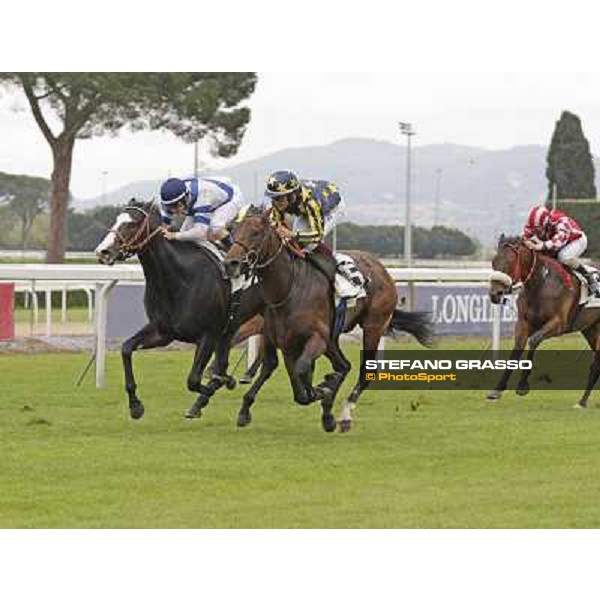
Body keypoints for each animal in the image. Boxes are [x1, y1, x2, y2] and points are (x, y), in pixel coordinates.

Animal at [95, 199, 262, 420]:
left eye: (132, 224)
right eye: (117, 219)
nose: (103, 252)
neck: (179, 279)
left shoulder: (208, 335)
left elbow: (193, 380)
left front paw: (222, 384)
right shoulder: (163, 332)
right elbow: (126, 348)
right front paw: (135, 405)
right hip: (233, 328)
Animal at [223, 211, 434, 432]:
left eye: (255, 232)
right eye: (233, 231)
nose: (230, 263)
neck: (288, 289)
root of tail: (382, 269)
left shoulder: (316, 337)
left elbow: (302, 370)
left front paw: (321, 391)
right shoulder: (282, 341)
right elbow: (294, 384)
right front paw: (245, 410)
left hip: (373, 326)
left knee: (364, 370)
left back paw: (344, 414)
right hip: (332, 337)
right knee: (344, 365)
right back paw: (329, 412)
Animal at [490, 234, 600, 408]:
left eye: (509, 263)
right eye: (494, 262)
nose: (495, 294)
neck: (541, 283)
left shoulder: (558, 323)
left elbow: (534, 340)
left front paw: (522, 385)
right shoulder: (523, 323)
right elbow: (517, 349)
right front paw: (497, 389)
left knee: (596, 364)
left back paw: (582, 402)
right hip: (590, 329)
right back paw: (582, 402)